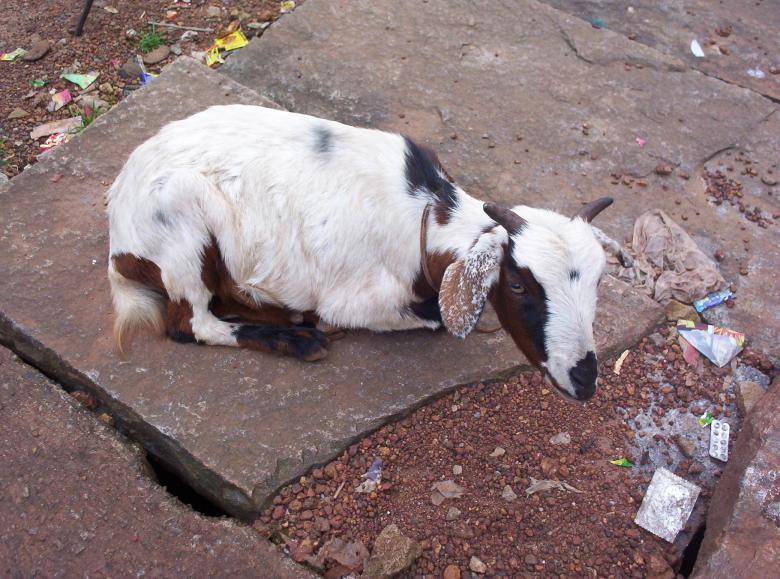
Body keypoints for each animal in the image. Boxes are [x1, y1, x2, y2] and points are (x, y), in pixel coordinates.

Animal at [107, 105, 630, 401]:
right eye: (518, 284)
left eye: (600, 282)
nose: (585, 378)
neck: (426, 216)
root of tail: (117, 243)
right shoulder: (359, 302)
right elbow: (429, 318)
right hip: (179, 223)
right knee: (190, 324)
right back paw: (297, 338)